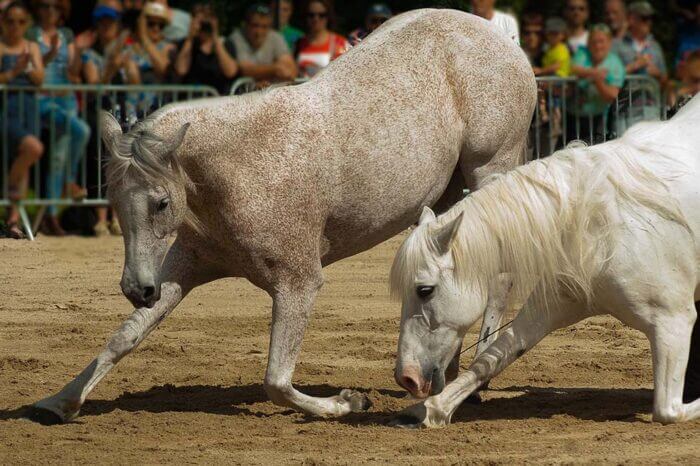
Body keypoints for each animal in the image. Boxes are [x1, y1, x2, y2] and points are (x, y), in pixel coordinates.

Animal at [30, 8, 536, 422]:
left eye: (161, 203)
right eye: (114, 200)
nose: (137, 288)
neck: (242, 169)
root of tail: (502, 40)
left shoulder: (299, 283)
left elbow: (276, 381)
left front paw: (348, 402)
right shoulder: (185, 265)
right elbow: (125, 337)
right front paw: (59, 402)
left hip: (489, 169)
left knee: (500, 274)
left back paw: (474, 381)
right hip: (449, 199)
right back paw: (444, 374)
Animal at [392, 96, 700, 428]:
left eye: (425, 290)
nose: (406, 377)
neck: (595, 224)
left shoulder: (673, 322)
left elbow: (668, 410)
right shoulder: (554, 307)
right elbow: (493, 357)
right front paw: (429, 410)